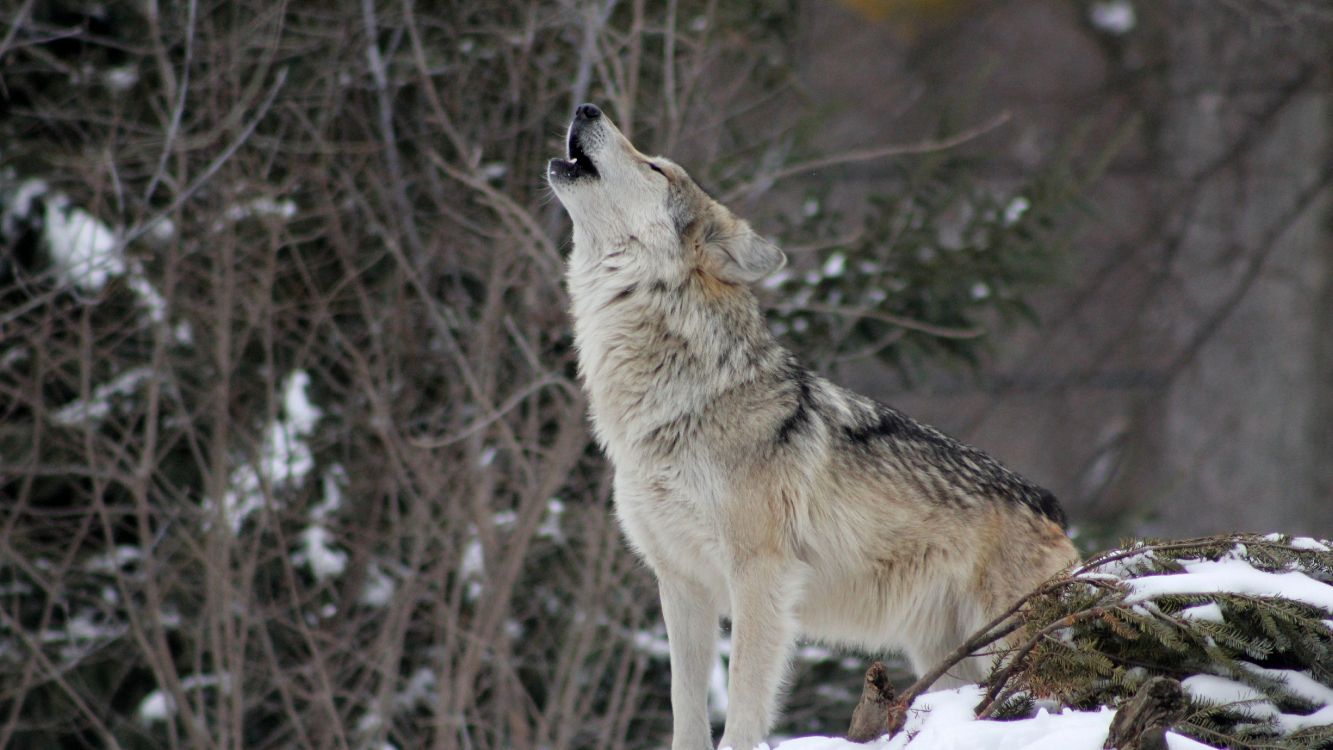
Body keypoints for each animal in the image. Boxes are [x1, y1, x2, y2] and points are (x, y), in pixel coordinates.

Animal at [546, 101, 1077, 750]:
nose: (586, 107)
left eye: (656, 167)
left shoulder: (760, 577)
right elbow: (685, 709)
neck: (678, 400)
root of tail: (1050, 505)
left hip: (1005, 645)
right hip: (947, 657)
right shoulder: (680, 583)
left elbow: (743, 706)